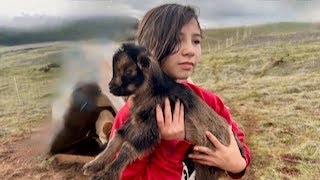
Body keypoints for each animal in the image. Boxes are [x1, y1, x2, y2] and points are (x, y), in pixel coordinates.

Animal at [82, 44, 245, 180]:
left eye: (128, 71)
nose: (110, 86)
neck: (155, 92)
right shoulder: (135, 123)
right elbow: (115, 140)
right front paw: (93, 166)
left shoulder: (149, 129)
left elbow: (127, 148)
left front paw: (106, 175)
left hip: (208, 164)